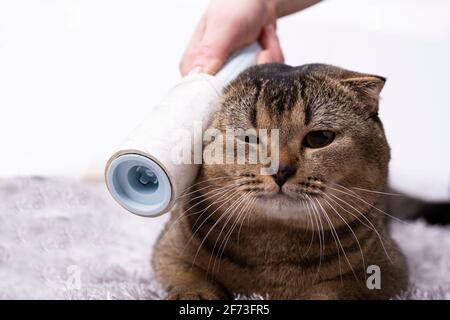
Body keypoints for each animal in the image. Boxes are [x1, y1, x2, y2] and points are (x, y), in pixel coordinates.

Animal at [153, 63, 448, 300]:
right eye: (248, 139)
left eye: (319, 138)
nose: (281, 171)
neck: (275, 251)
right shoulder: (169, 249)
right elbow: (190, 276)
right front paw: (195, 294)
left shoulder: (387, 268)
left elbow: (332, 289)